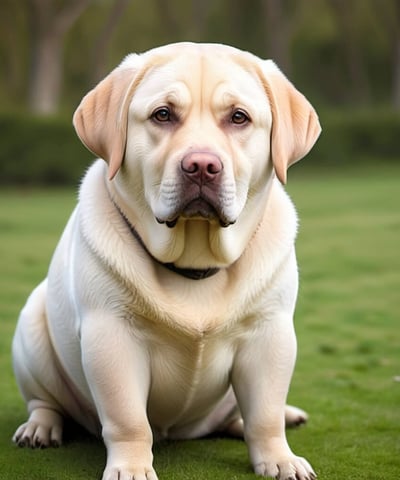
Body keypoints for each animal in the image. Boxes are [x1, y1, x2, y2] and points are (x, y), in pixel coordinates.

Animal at [10, 43, 320, 478]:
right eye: (163, 114)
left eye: (238, 117)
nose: (202, 166)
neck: (194, 261)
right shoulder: (112, 336)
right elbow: (128, 420)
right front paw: (131, 467)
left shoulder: (269, 332)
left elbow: (265, 414)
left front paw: (278, 458)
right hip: (31, 330)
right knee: (44, 401)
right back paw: (39, 427)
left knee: (243, 414)